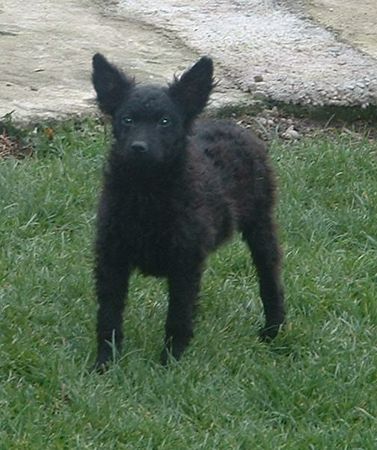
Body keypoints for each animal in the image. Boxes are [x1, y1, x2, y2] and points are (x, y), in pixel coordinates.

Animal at [92, 52, 284, 370]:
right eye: (127, 120)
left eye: (165, 122)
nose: (138, 147)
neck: (147, 191)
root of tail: (234, 126)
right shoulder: (111, 258)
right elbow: (109, 315)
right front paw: (105, 363)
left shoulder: (185, 262)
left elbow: (178, 317)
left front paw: (170, 364)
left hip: (261, 225)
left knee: (270, 279)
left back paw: (273, 331)